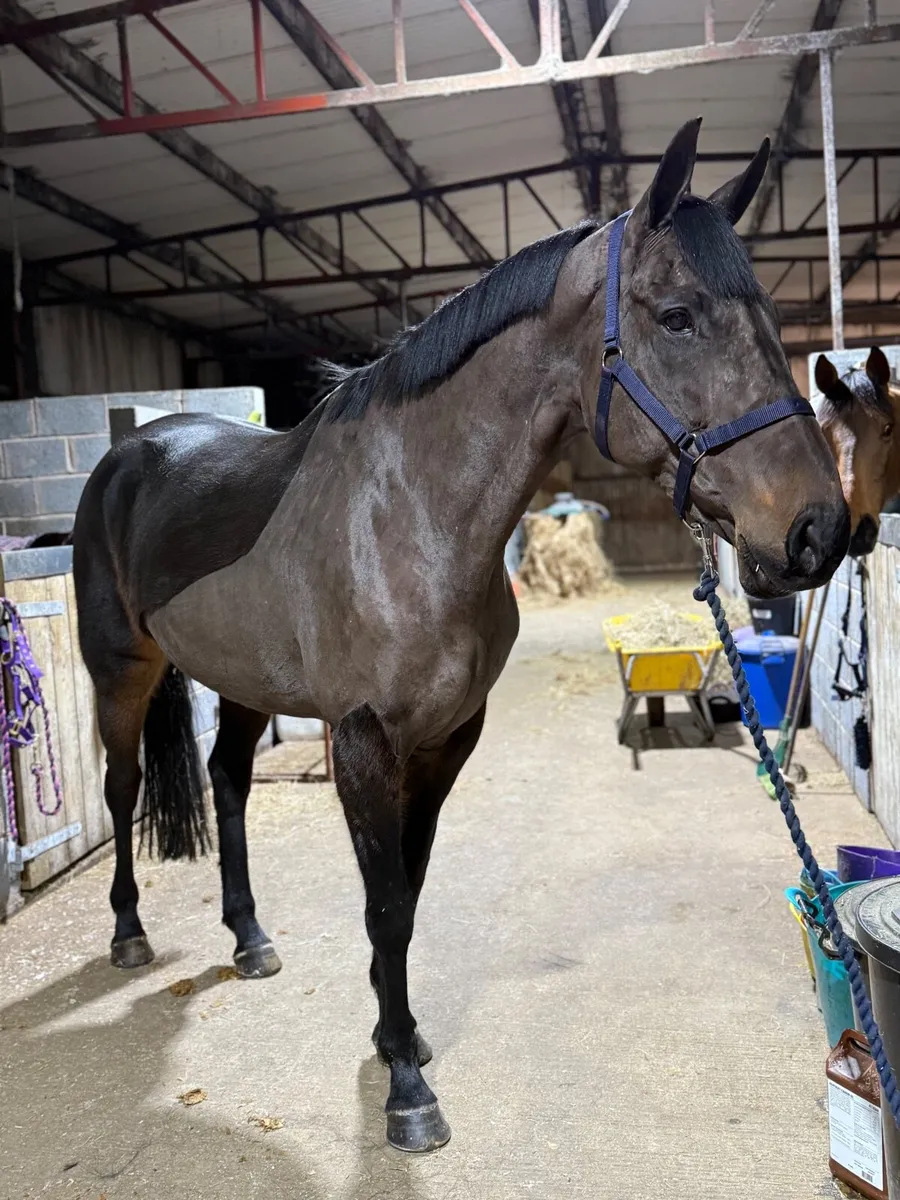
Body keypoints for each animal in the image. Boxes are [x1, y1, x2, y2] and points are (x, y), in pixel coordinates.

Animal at [72, 117, 849, 1153]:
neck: (410, 513)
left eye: (767, 315)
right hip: (120, 670)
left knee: (228, 783)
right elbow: (385, 905)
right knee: (122, 791)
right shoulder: (365, 742)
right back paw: (128, 934)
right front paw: (406, 1087)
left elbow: (408, 890)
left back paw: (251, 939)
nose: (820, 531)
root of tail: (129, 450)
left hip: (239, 682)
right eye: (678, 315)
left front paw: (395, 1036)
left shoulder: (449, 739)